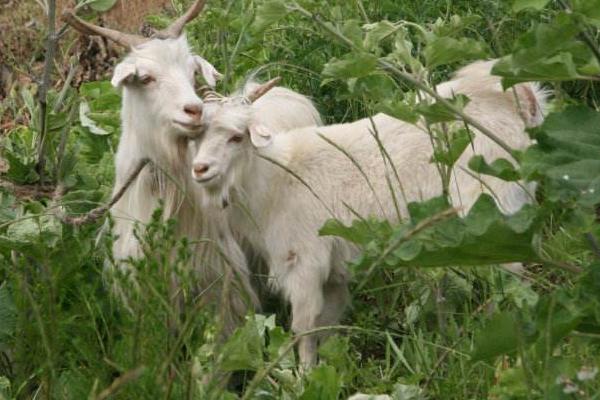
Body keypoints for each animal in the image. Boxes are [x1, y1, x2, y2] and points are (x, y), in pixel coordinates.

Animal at [190, 60, 548, 366]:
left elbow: (304, 328)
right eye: (196, 135)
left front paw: (302, 377)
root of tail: (521, 103)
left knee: (512, 276)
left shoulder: (304, 263)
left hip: (491, 210)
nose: (200, 169)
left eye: (237, 136)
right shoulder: (333, 275)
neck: (277, 178)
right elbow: (325, 325)